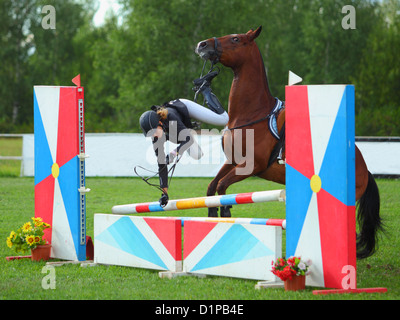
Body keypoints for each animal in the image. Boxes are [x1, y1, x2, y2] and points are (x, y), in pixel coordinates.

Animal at [195, 26, 382, 258]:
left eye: (236, 39)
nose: (202, 44)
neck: (250, 114)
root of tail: (365, 168)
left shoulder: (251, 166)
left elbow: (222, 186)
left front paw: (226, 212)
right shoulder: (232, 162)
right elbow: (212, 186)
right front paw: (213, 213)